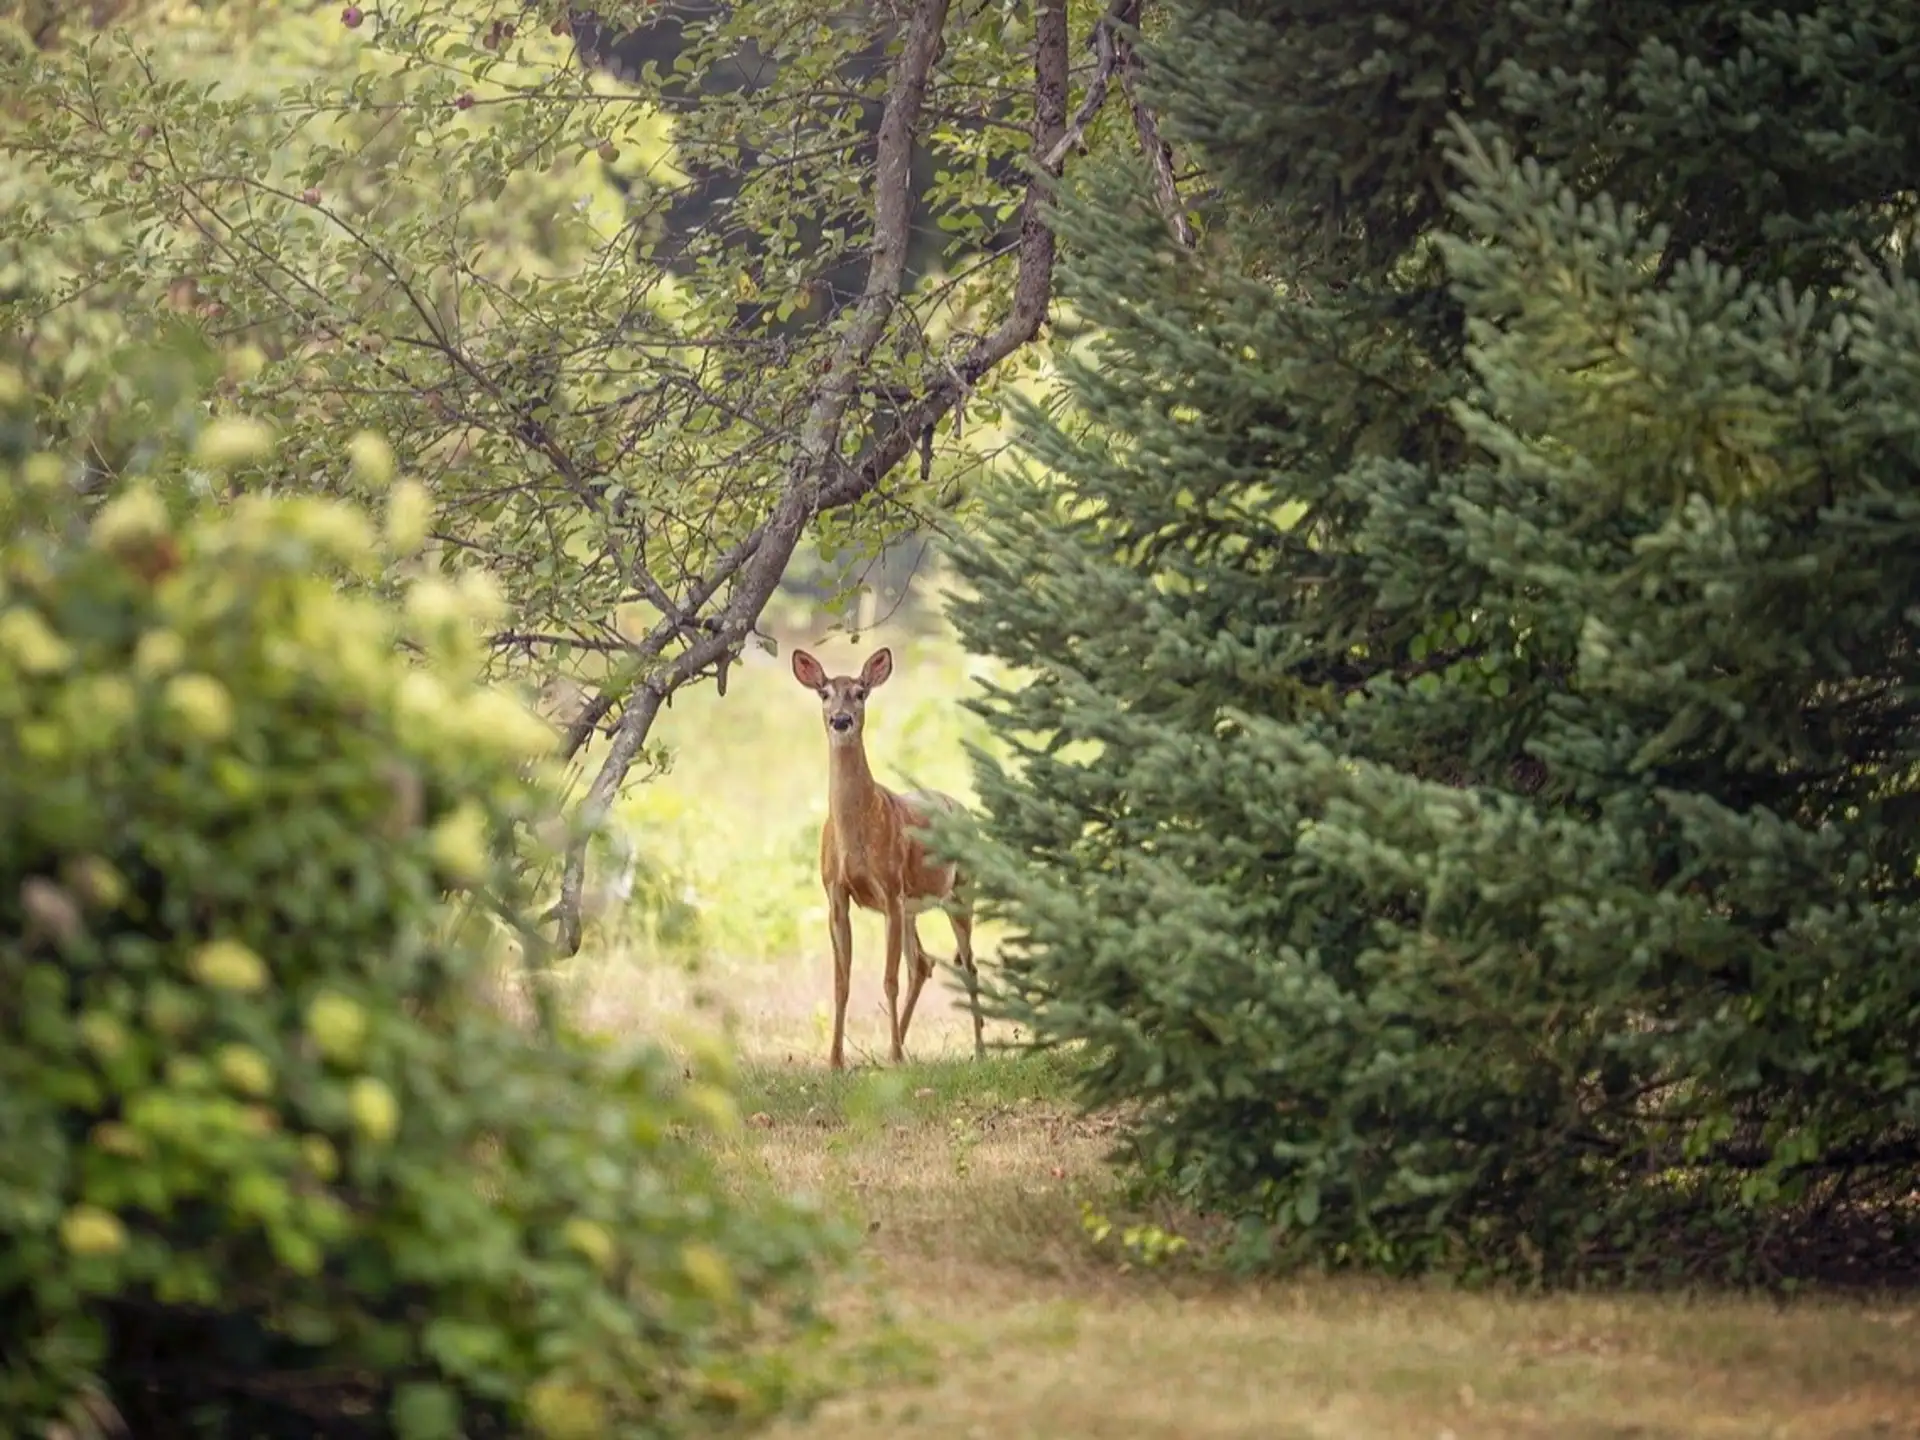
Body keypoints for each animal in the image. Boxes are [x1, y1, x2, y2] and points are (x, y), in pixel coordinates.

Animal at [791, 645, 984, 1071]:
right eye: (824, 692)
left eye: (861, 692)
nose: (841, 720)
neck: (856, 832)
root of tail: (963, 810)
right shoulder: (835, 893)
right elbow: (841, 982)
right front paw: (836, 1061)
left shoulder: (890, 889)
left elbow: (888, 979)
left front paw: (892, 1056)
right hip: (913, 907)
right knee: (923, 962)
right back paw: (897, 1048)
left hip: (960, 891)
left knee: (967, 965)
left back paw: (977, 1050)